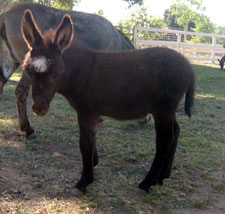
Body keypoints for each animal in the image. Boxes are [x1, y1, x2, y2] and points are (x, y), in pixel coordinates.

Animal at [21, 10, 195, 192]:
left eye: (55, 74)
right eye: (29, 72)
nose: (39, 108)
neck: (80, 72)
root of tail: (189, 68)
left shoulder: (86, 112)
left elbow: (85, 145)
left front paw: (84, 181)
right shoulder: (92, 114)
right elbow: (91, 141)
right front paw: (94, 163)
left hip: (163, 109)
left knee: (164, 141)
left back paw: (147, 182)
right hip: (167, 110)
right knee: (176, 132)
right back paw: (163, 176)